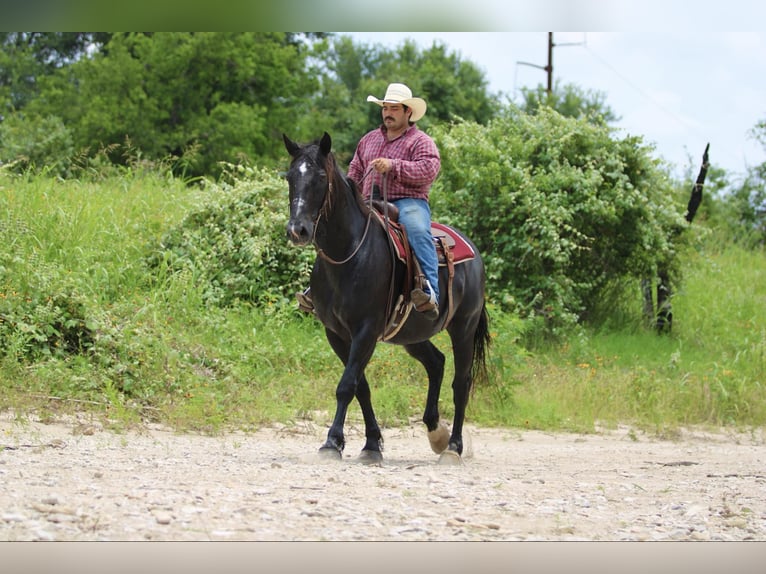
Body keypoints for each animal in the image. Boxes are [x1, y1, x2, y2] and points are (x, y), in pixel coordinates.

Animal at [284, 133, 492, 466]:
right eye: (290, 176)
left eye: (319, 178)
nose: (297, 230)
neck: (349, 254)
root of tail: (473, 252)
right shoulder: (337, 334)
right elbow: (361, 387)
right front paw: (371, 444)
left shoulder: (366, 330)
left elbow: (347, 385)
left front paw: (332, 442)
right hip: (411, 334)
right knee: (436, 363)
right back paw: (436, 432)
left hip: (464, 328)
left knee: (461, 382)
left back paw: (453, 447)